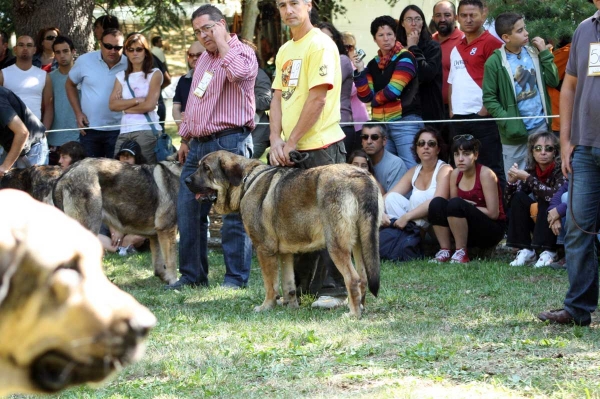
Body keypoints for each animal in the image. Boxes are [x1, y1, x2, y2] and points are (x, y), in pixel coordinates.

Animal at [51, 156, 183, 284]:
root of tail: (64, 176)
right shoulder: (167, 230)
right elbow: (171, 261)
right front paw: (174, 283)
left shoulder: (156, 235)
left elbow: (159, 265)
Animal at [185, 151, 382, 318]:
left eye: (206, 168)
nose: (186, 180)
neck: (246, 182)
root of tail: (361, 176)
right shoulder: (286, 254)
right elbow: (288, 285)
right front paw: (290, 306)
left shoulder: (265, 250)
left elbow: (270, 284)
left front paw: (266, 306)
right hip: (361, 243)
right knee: (363, 279)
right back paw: (361, 308)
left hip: (336, 245)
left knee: (353, 279)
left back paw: (353, 314)